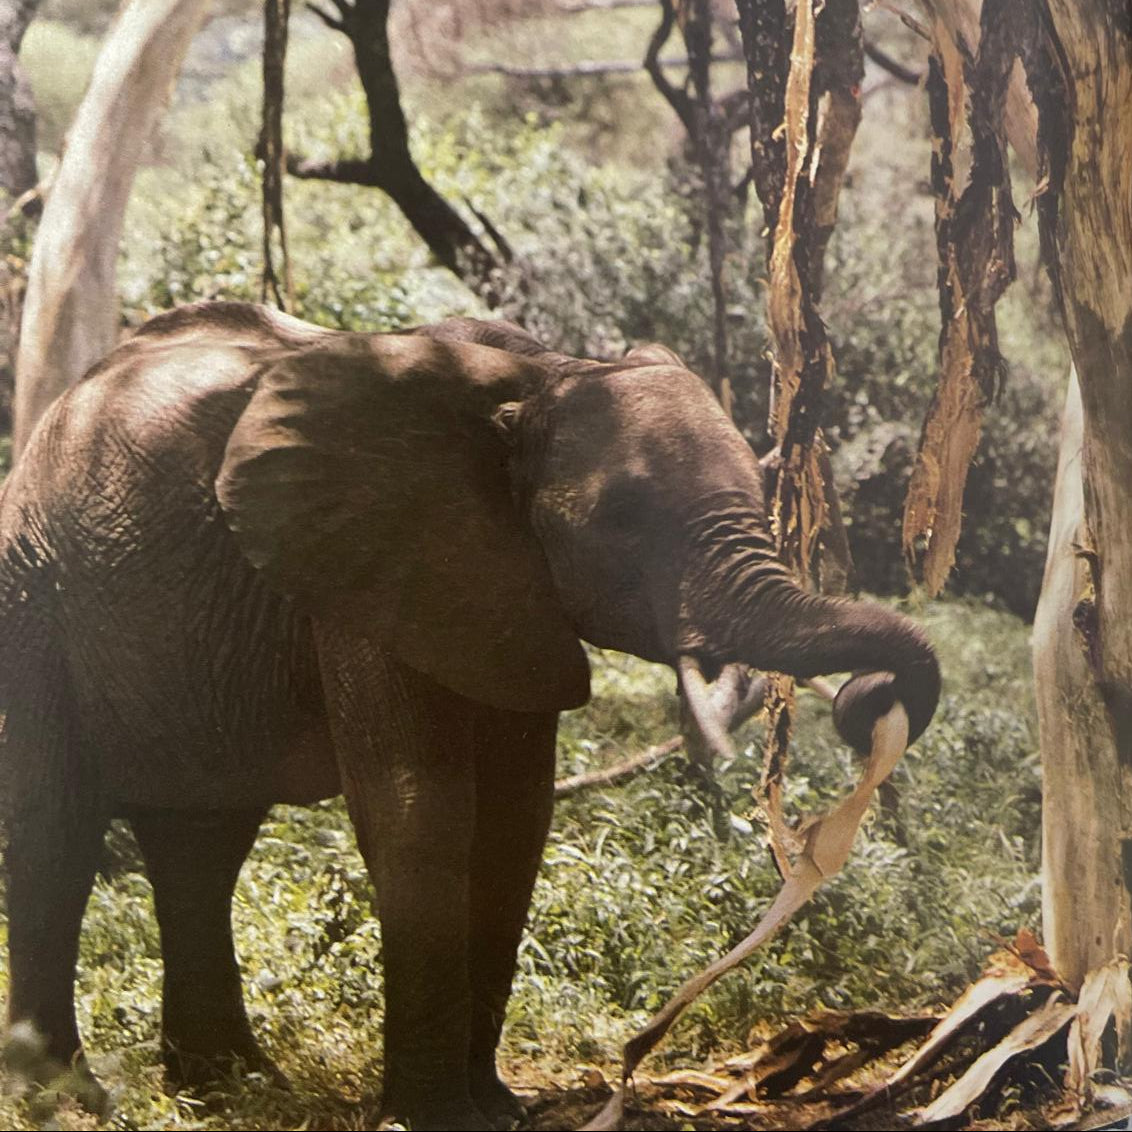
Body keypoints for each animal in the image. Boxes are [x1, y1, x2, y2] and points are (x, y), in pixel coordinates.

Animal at [0, 300, 940, 1131]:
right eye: (622, 520)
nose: (866, 703)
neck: (546, 376)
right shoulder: (371, 557)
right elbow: (421, 809)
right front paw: (431, 1117)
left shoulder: (500, 585)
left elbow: (513, 823)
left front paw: (496, 1110)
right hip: (31, 593)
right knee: (55, 831)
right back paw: (65, 1096)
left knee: (201, 847)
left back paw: (228, 1083)